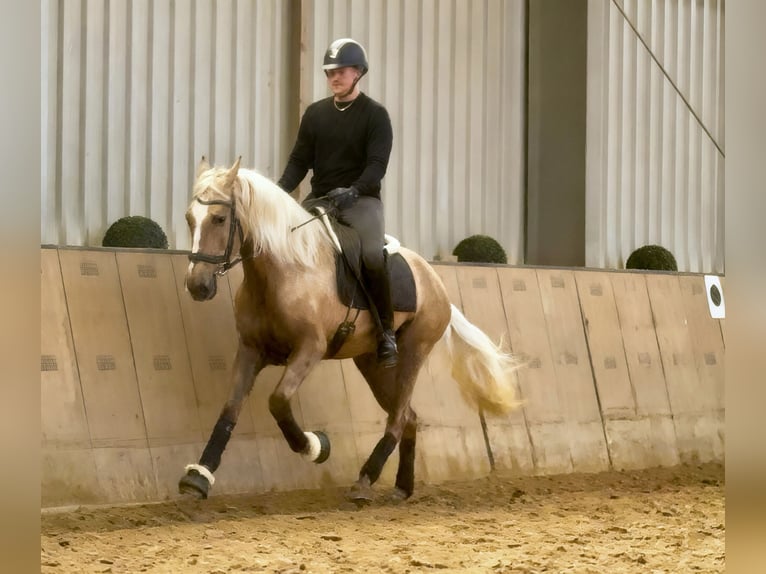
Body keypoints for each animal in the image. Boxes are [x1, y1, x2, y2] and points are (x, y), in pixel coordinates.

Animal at [179, 156, 521, 502]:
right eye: (189, 218)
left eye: (220, 219)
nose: (197, 285)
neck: (285, 270)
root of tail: (433, 279)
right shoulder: (251, 350)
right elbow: (230, 409)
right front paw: (199, 476)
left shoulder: (310, 349)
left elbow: (278, 401)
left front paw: (316, 447)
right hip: (371, 363)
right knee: (409, 417)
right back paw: (401, 486)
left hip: (414, 351)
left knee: (399, 417)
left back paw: (366, 479)